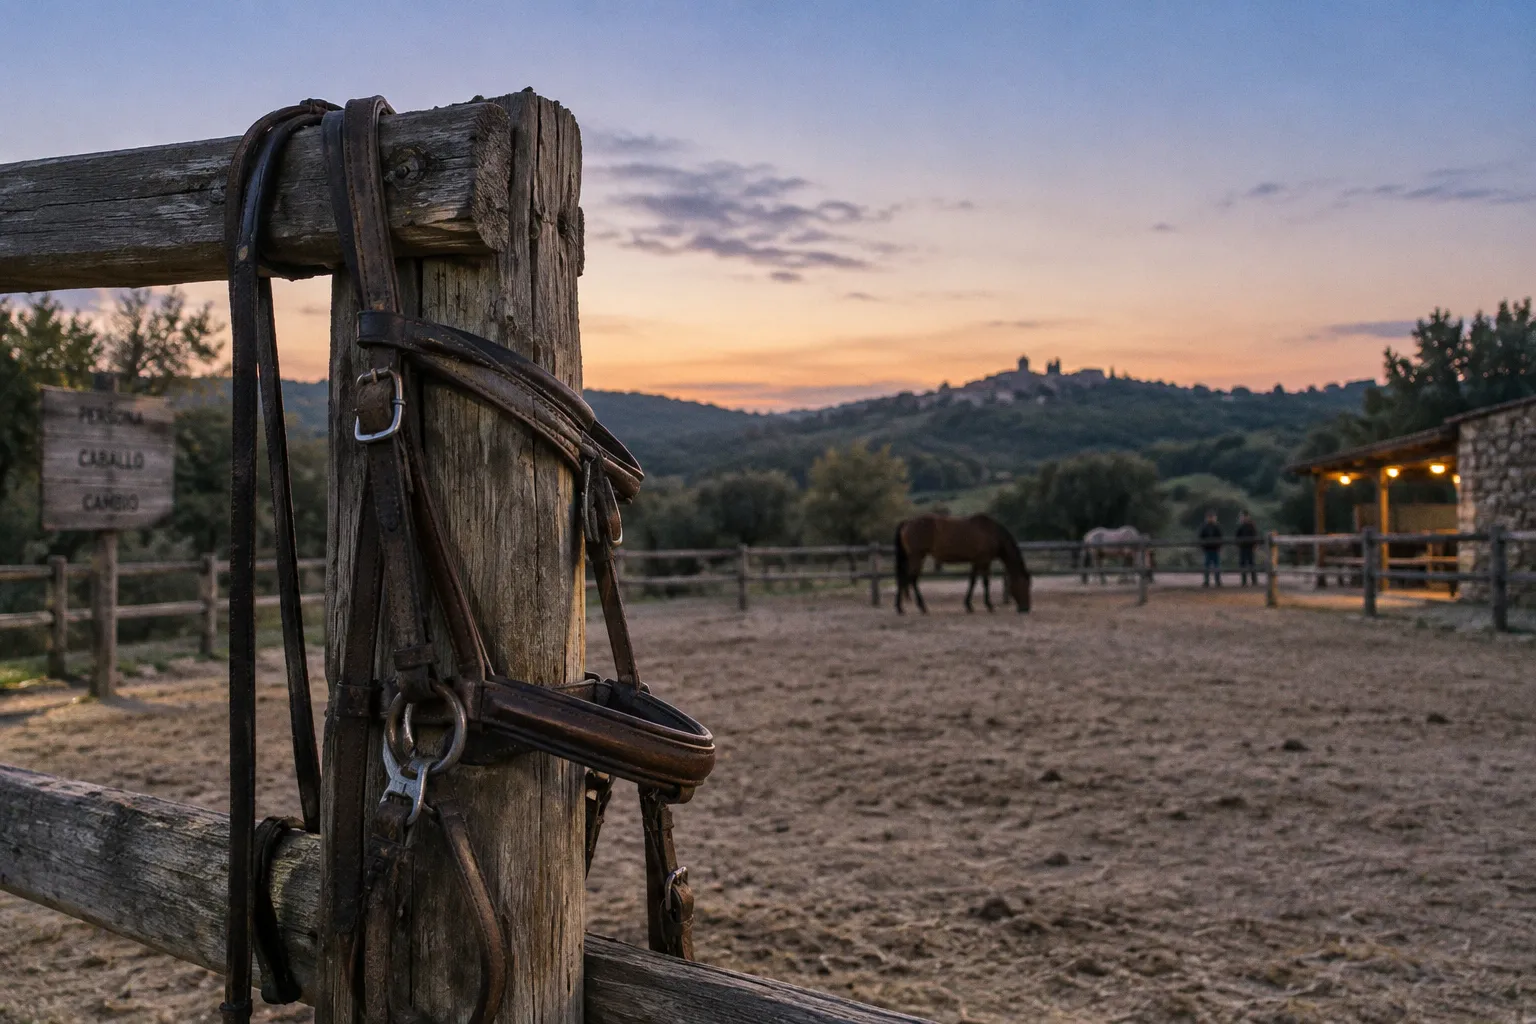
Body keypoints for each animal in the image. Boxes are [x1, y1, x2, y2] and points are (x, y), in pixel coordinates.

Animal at [894, 513, 1032, 614]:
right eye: (1024, 585)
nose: (1026, 608)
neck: (990, 532)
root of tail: (907, 522)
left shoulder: (976, 561)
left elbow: (972, 581)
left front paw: (968, 605)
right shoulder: (984, 561)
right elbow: (986, 582)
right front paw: (989, 605)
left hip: (915, 558)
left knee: (906, 579)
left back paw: (902, 608)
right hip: (916, 556)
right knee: (911, 579)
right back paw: (918, 607)